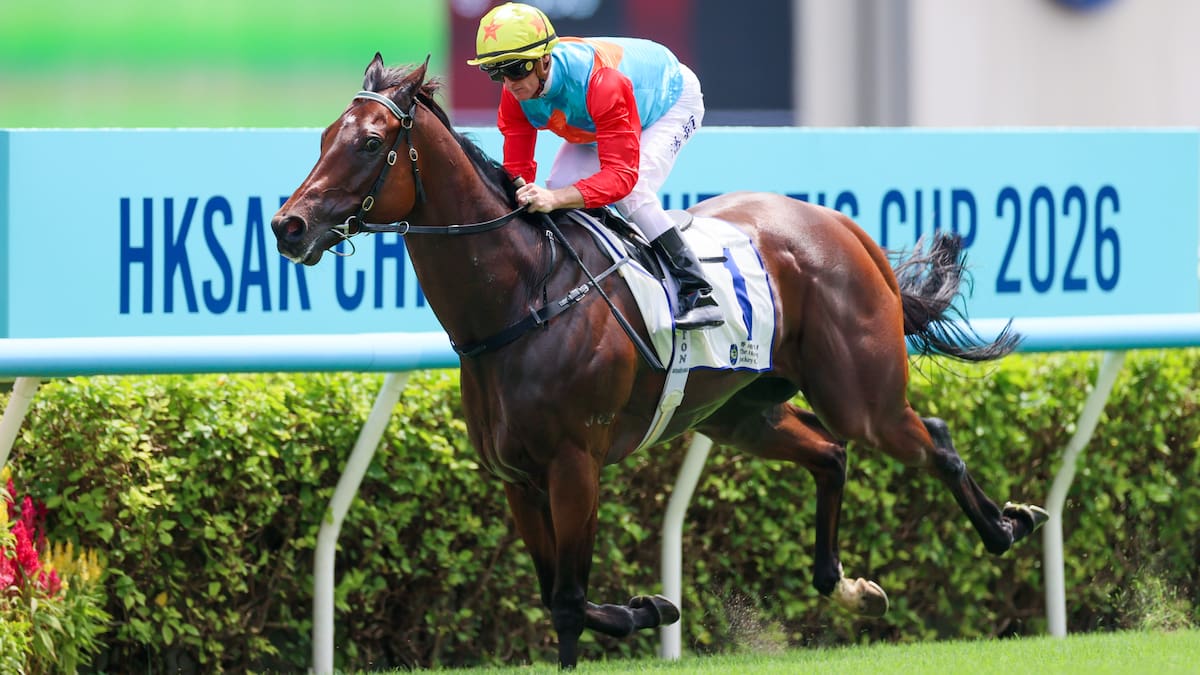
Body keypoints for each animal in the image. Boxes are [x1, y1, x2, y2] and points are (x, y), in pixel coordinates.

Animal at [271, 54, 1047, 668]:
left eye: (371, 143)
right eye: (323, 138)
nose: (288, 225)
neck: (523, 297)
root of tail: (837, 224)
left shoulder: (574, 464)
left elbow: (570, 598)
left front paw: (651, 608)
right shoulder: (517, 478)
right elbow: (554, 593)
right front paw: (652, 607)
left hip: (862, 396)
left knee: (931, 440)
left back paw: (1009, 525)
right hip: (740, 413)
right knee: (831, 455)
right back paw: (850, 585)